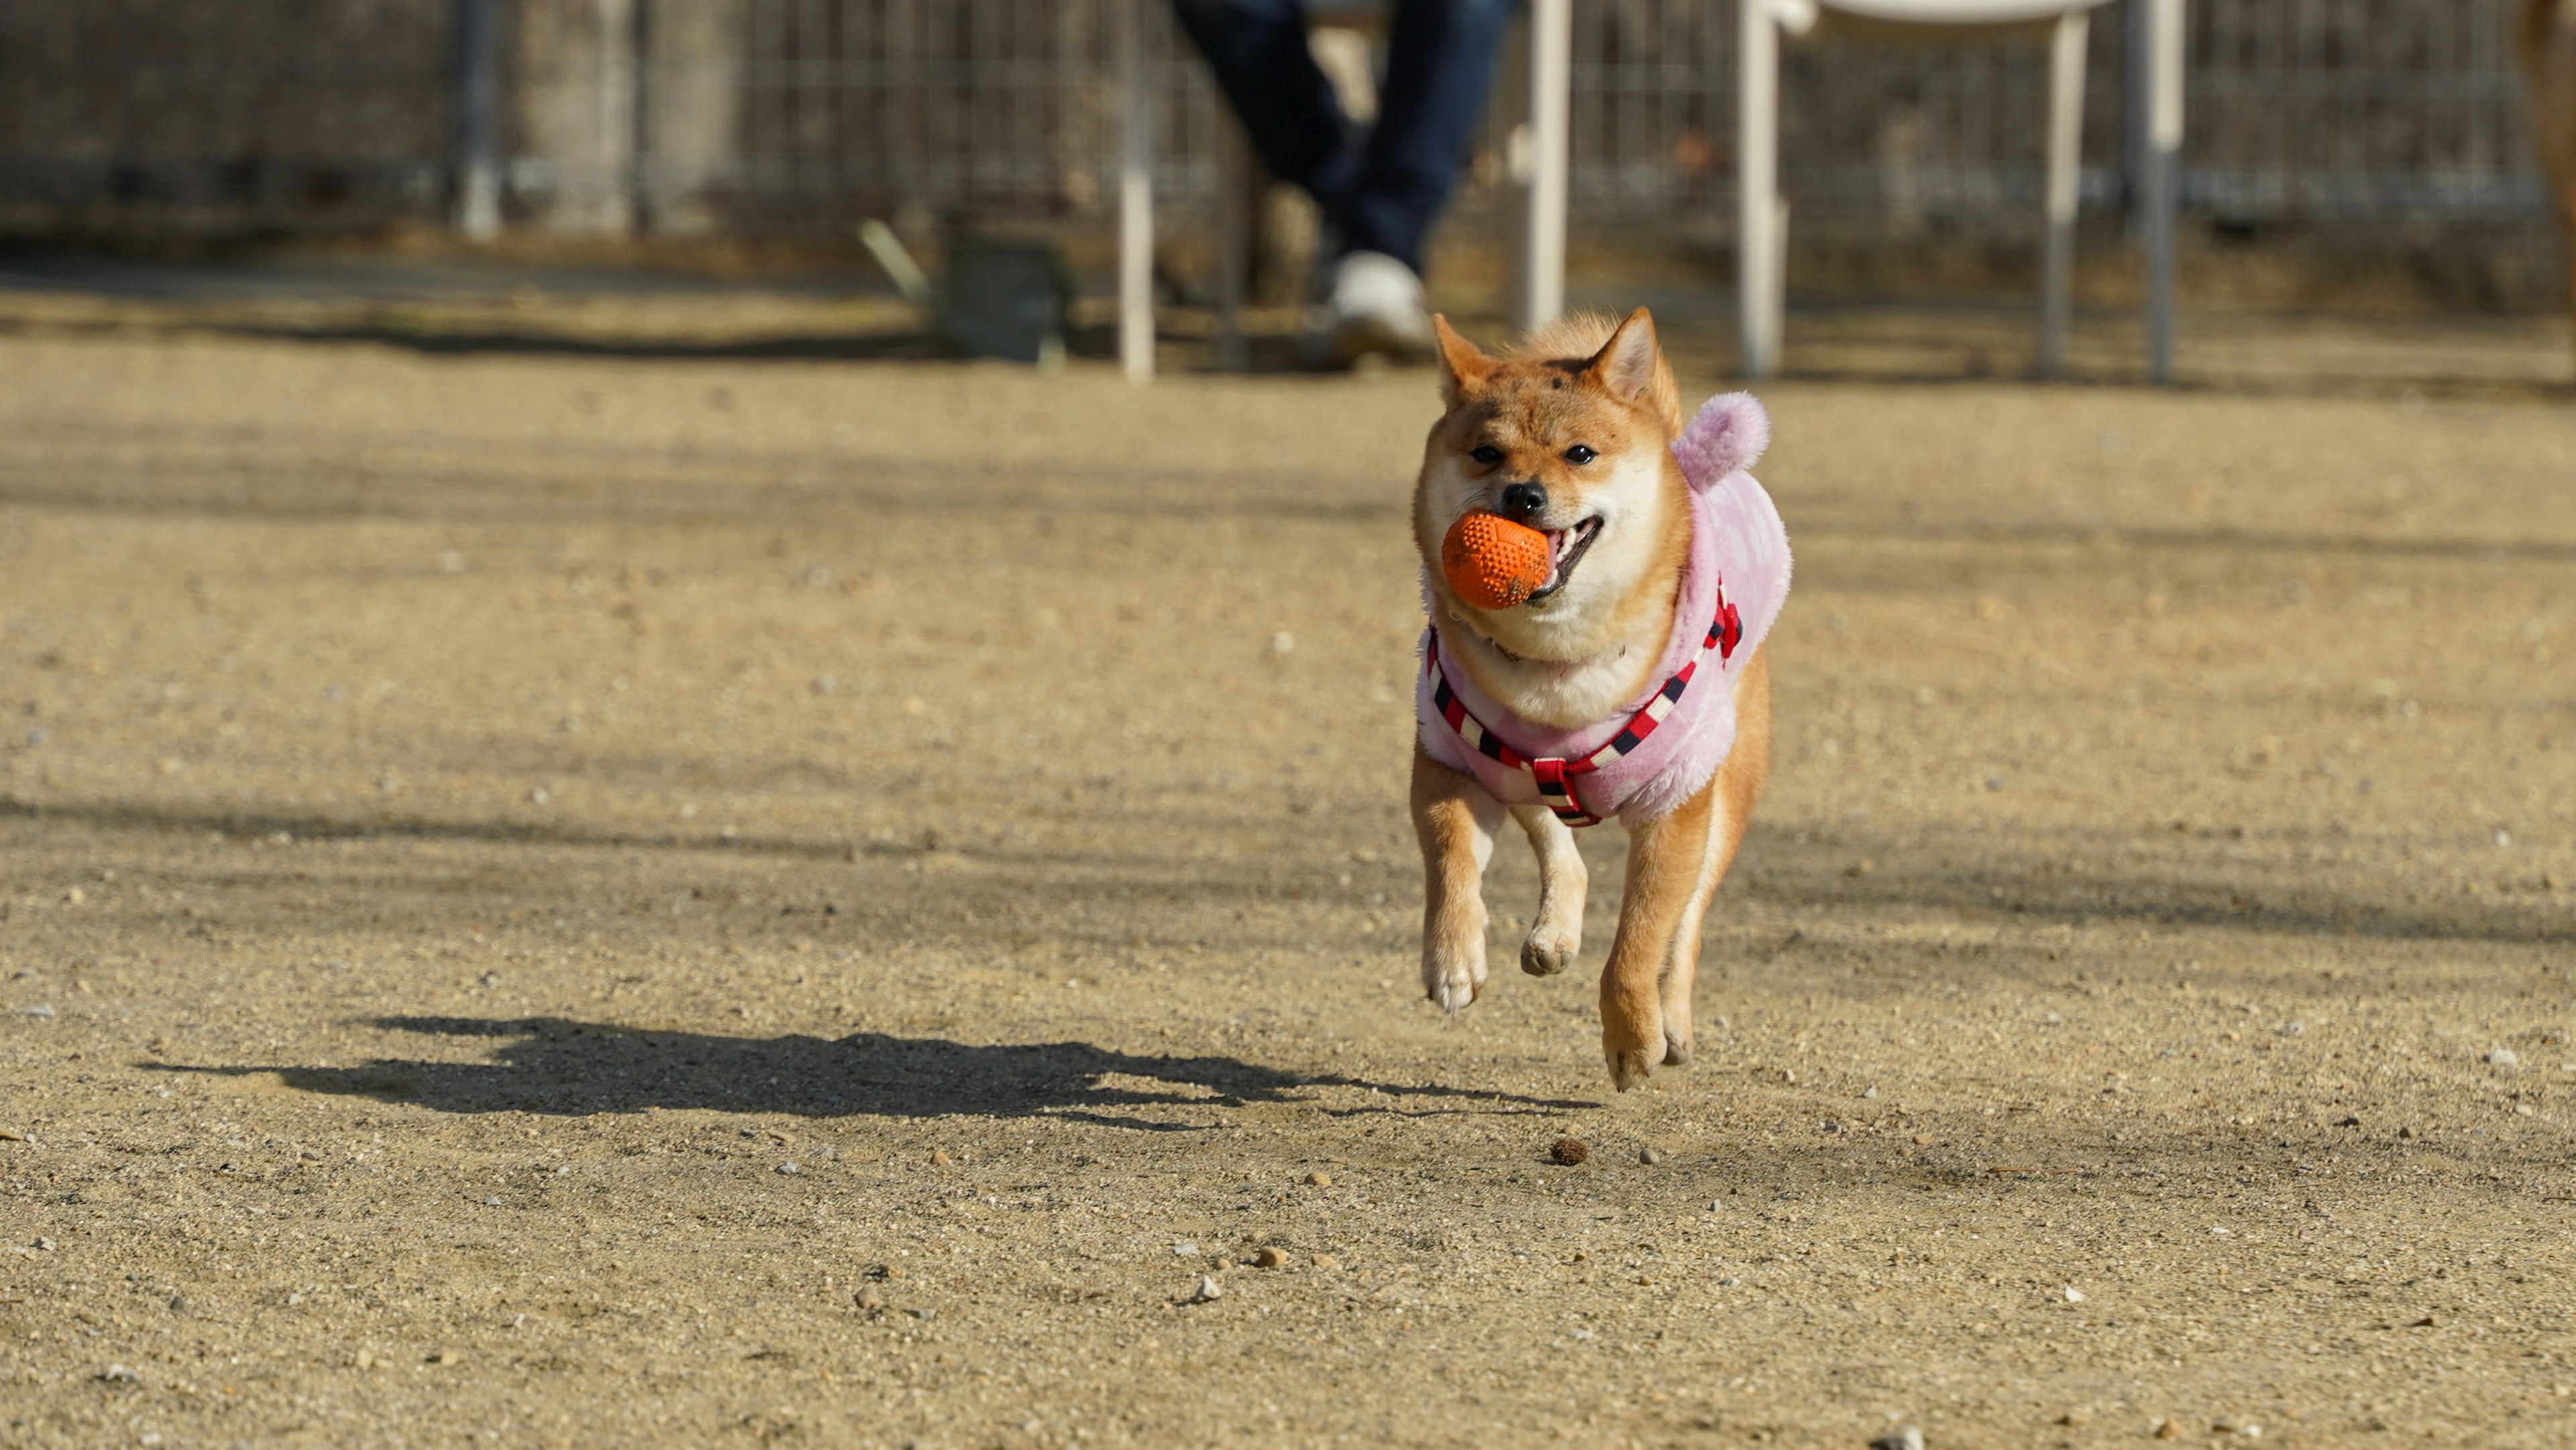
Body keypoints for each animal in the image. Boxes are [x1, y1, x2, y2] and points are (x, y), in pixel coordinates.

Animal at [1411, 311, 1792, 1097]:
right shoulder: (1446, 757)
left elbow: (1641, 939)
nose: (1521, 495)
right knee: (1556, 838)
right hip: (1515, 770)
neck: (1558, 663)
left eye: (1580, 453)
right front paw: (1453, 958)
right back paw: (1553, 931)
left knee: (1686, 925)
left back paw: (1670, 1017)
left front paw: (1633, 1033)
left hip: (1724, 793)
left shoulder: (1675, 806)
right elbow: (1450, 857)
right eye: (1486, 454)